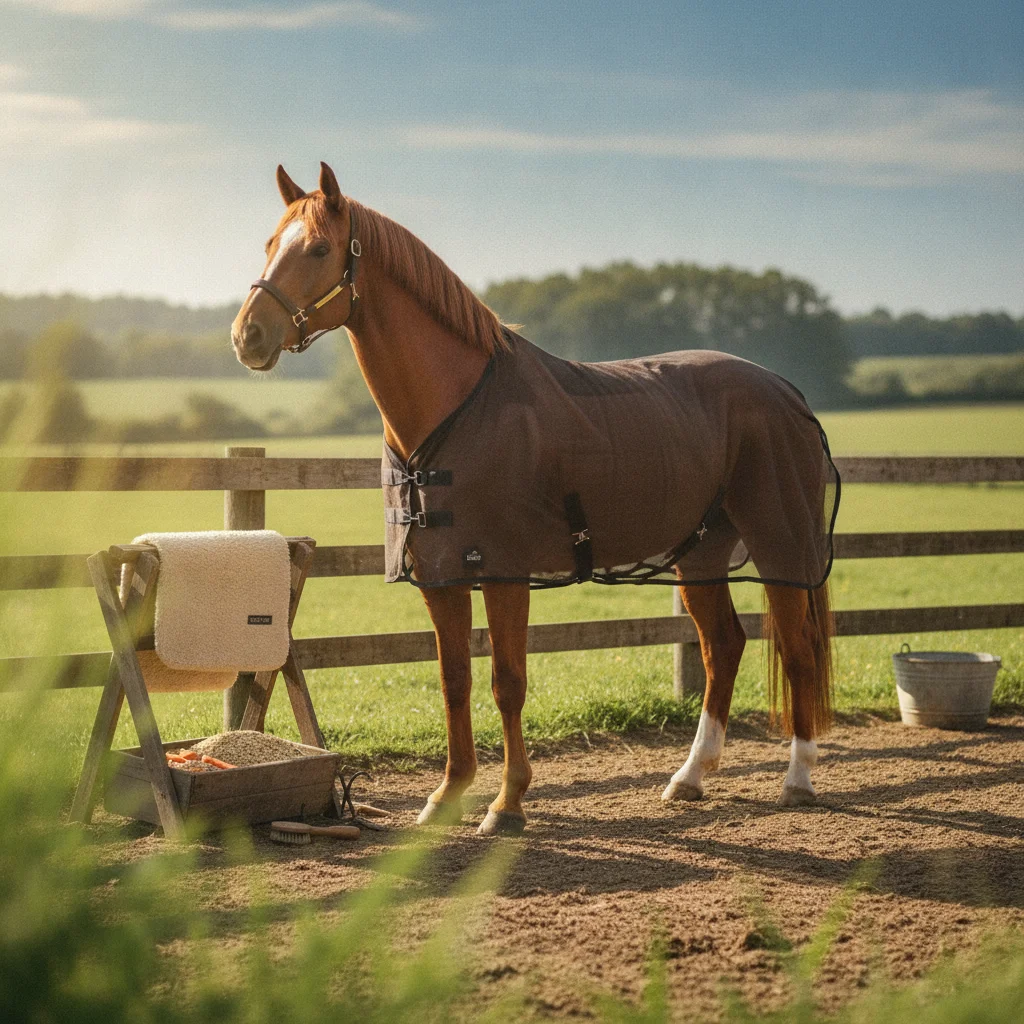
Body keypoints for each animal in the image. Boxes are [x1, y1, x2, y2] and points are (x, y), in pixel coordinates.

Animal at [231, 161, 837, 836]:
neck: (458, 406)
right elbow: (455, 680)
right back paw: (690, 776)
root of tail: (786, 391)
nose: (248, 335)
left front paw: (508, 802)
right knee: (722, 648)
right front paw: (448, 795)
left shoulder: (503, 571)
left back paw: (798, 780)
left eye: (318, 249)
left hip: (781, 546)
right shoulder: (440, 577)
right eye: (269, 244)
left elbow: (508, 681)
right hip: (701, 556)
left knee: (799, 649)